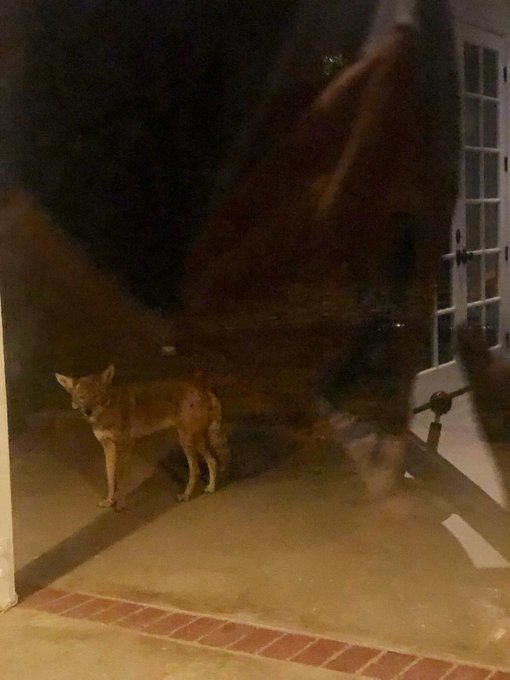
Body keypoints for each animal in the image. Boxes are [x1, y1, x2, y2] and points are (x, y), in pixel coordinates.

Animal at [55, 365, 230, 510]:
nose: (88, 411)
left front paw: (120, 504)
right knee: (213, 461)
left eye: (96, 396)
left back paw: (186, 495)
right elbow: (110, 477)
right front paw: (110, 501)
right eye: (82, 397)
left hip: (187, 441)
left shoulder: (126, 445)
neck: (105, 413)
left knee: (195, 469)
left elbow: (120, 478)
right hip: (196, 441)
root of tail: (204, 389)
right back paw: (211, 488)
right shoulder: (108, 446)